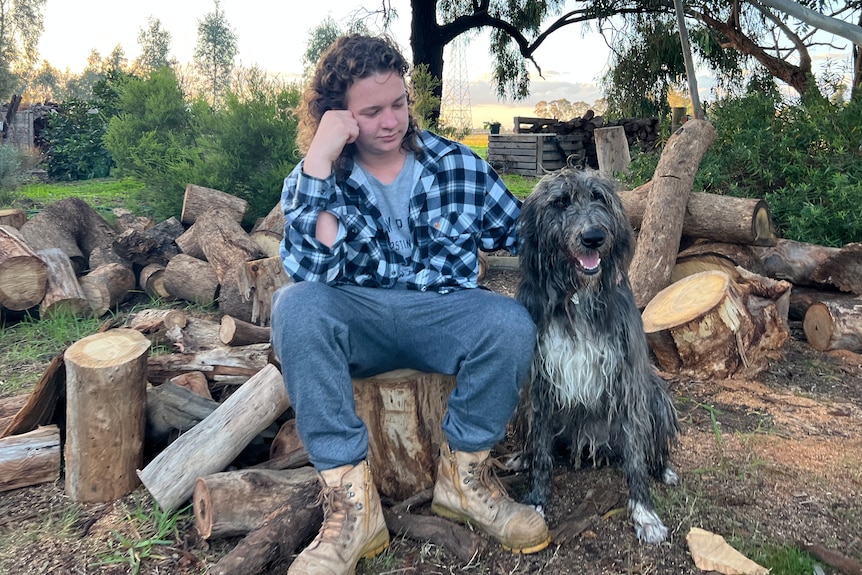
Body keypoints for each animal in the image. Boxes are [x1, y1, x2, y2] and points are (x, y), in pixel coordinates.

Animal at [512, 168, 680, 544]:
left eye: (598, 198)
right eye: (560, 202)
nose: (593, 237)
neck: (577, 295)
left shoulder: (629, 381)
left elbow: (635, 461)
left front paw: (644, 514)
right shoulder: (540, 381)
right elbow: (542, 452)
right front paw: (536, 500)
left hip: (655, 394)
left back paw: (662, 469)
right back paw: (522, 458)